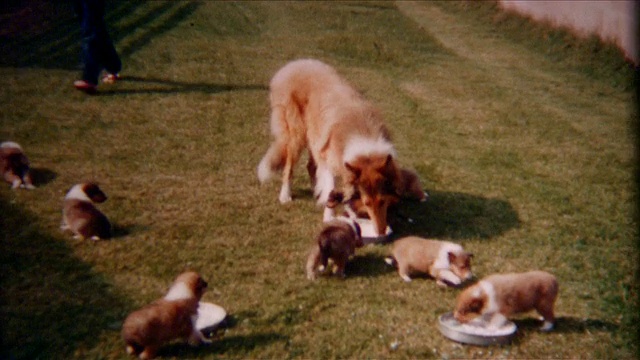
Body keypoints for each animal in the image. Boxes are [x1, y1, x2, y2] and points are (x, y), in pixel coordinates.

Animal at [256, 58, 400, 236]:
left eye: (382, 201)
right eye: (366, 203)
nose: (380, 232)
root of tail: (294, 64)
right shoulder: (331, 160)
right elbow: (332, 188)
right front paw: (329, 216)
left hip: (315, 137)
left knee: (310, 166)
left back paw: (316, 191)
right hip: (298, 134)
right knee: (289, 167)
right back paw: (285, 195)